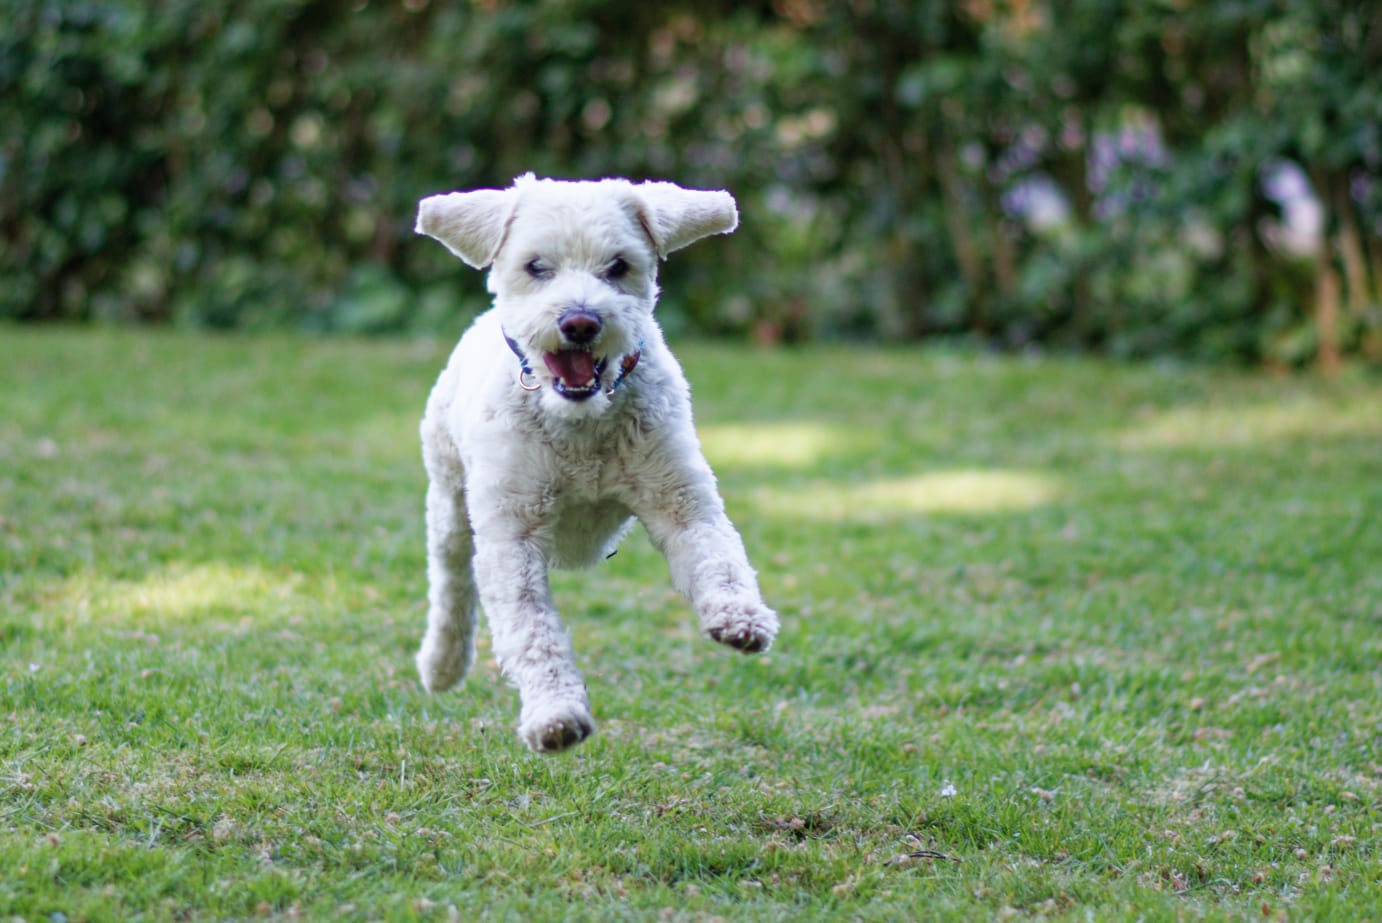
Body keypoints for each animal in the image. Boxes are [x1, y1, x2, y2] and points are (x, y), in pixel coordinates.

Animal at [409, 176, 784, 751]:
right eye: (537, 266)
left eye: (618, 266)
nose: (581, 322)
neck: (580, 423)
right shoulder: (512, 534)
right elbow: (530, 628)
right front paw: (555, 715)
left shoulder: (680, 499)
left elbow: (718, 556)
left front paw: (739, 617)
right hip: (450, 499)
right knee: (451, 582)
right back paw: (442, 663)